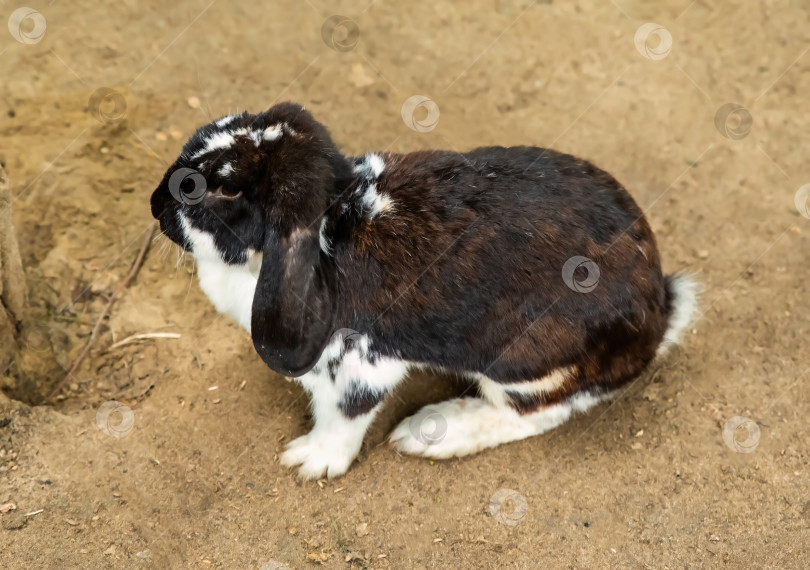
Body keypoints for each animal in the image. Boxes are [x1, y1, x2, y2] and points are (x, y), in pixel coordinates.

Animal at [150, 103, 696, 480]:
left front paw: (309, 461)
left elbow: (342, 419)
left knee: (537, 413)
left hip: (524, 363)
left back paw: (431, 432)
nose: (156, 203)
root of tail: (661, 311)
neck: (333, 220)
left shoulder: (360, 365)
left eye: (226, 190)